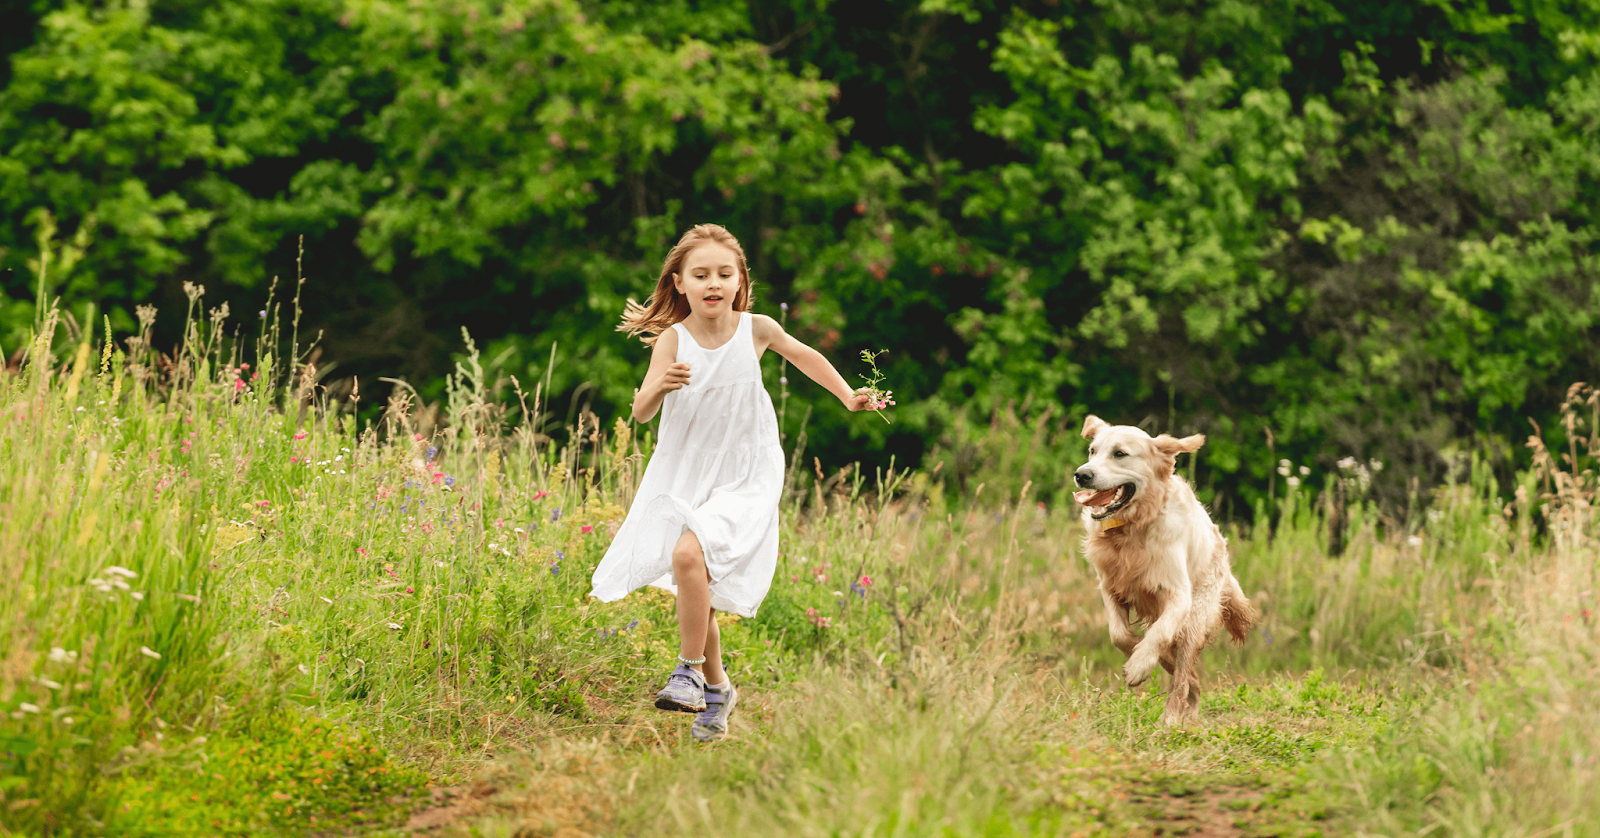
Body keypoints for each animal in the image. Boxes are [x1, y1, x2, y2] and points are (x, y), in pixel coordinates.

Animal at [1068, 415, 1254, 722]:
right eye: (1092, 451)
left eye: (1120, 453)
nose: (1082, 474)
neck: (1133, 529)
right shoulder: (1109, 585)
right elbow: (1119, 635)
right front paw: (1138, 654)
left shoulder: (1179, 596)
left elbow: (1160, 633)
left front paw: (1139, 666)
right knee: (1188, 678)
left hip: (1196, 617)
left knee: (1181, 679)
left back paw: (1171, 719)